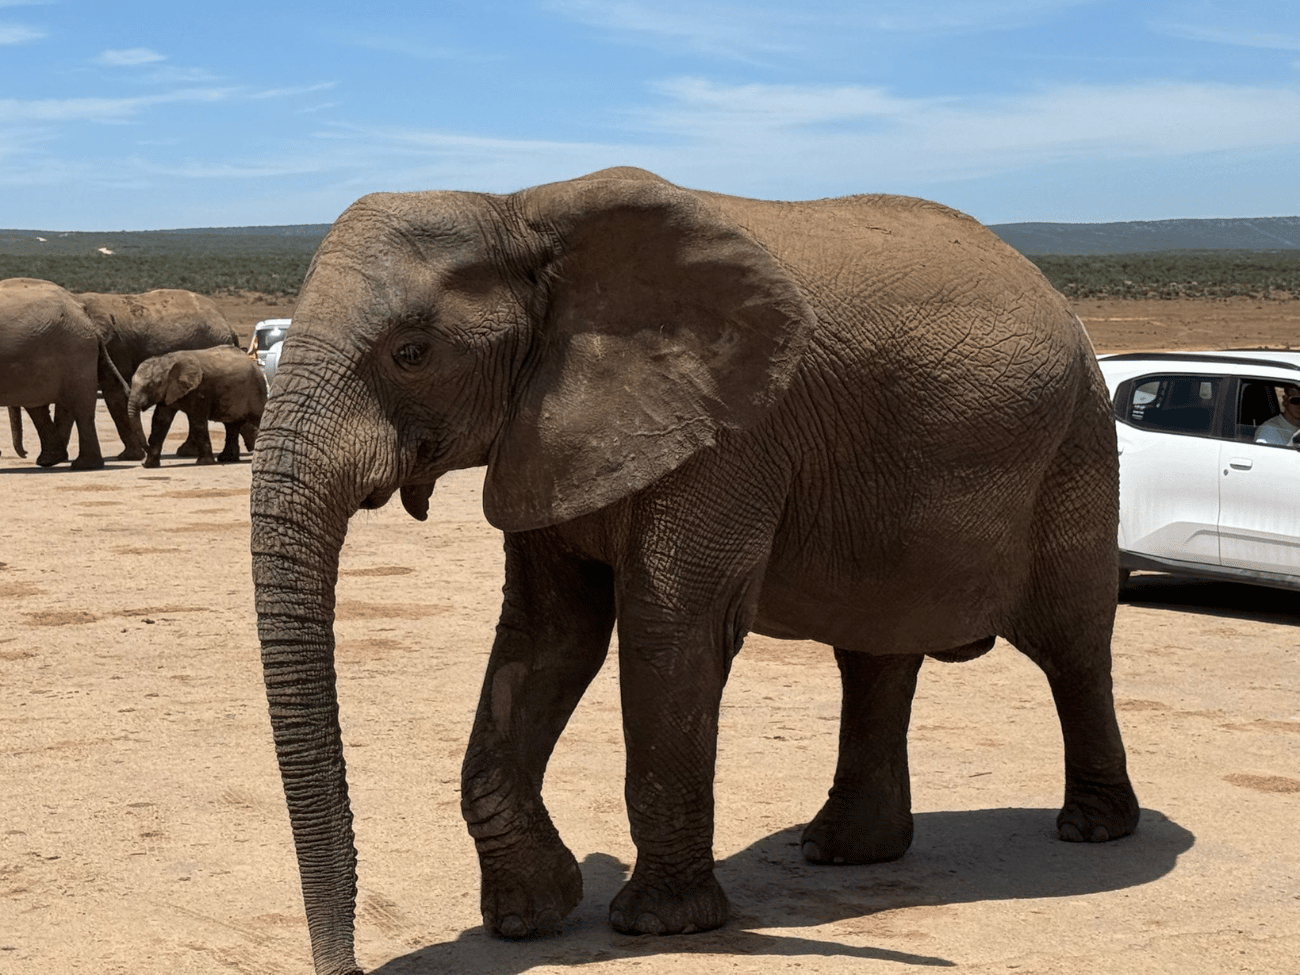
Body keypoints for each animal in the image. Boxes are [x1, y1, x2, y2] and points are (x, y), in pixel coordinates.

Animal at [0, 278, 130, 469]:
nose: (25, 454)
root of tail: (81, 308)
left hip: (76, 351)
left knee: (81, 407)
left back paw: (83, 465)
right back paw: (51, 460)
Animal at [126, 345, 266, 467]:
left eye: (150, 386)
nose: (147, 449)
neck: (168, 360)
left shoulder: (200, 390)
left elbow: (197, 421)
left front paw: (204, 463)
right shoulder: (169, 391)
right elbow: (160, 421)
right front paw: (149, 465)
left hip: (256, 390)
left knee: (257, 418)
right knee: (231, 425)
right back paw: (227, 459)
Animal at [249, 167, 1139, 974]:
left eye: (411, 353)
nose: (347, 968)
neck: (519, 209)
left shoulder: (730, 435)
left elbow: (668, 631)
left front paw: (659, 925)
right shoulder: (548, 430)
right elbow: (548, 637)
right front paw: (531, 918)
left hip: (1079, 446)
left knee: (1072, 643)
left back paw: (1095, 829)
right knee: (875, 654)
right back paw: (844, 851)